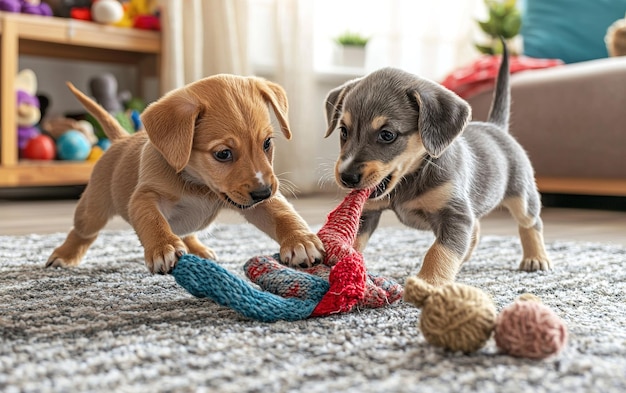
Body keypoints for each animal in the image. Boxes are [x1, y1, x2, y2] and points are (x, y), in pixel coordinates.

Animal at [47, 76, 322, 272]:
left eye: (267, 143)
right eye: (223, 154)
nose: (264, 192)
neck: (197, 184)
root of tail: (121, 139)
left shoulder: (254, 201)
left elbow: (282, 215)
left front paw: (301, 240)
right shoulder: (145, 197)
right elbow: (153, 220)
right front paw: (163, 246)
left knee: (188, 232)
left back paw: (198, 248)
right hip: (92, 211)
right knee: (82, 233)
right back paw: (64, 254)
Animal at [324, 45, 548, 284]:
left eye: (387, 135)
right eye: (343, 131)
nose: (346, 177)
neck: (411, 178)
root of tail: (497, 127)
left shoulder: (455, 215)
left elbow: (440, 252)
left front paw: (430, 282)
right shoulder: (369, 213)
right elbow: (355, 241)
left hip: (522, 197)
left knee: (531, 223)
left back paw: (535, 257)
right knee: (476, 229)